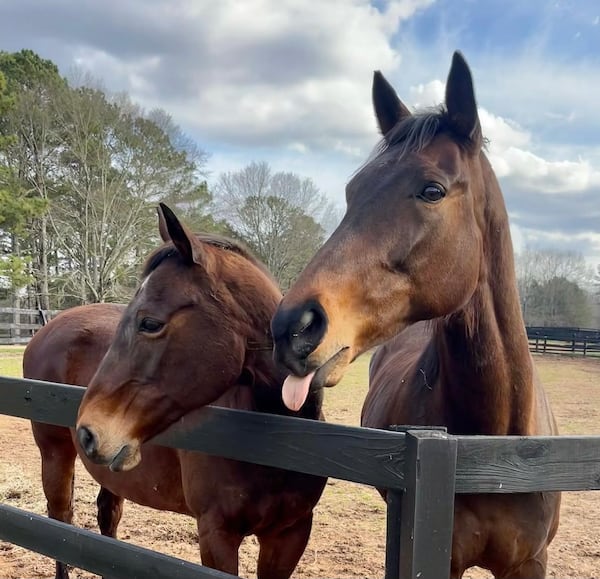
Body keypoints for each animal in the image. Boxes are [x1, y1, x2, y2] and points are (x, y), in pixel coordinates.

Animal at [25, 205, 328, 579]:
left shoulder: (290, 534)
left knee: (107, 519)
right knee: (61, 520)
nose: (88, 432)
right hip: (55, 454)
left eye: (150, 323)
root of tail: (45, 329)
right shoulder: (216, 533)